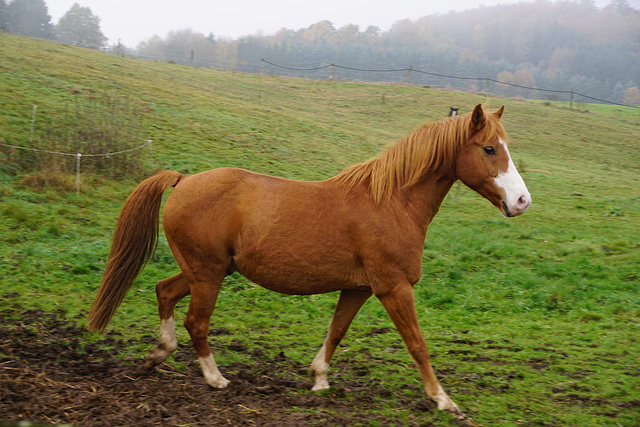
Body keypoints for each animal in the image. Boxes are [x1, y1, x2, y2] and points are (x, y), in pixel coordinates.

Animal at [87, 103, 532, 418]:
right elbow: (417, 344)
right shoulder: (393, 287)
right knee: (197, 322)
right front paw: (443, 400)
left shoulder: (358, 288)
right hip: (208, 274)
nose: (522, 201)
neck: (390, 202)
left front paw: (318, 379)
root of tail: (184, 179)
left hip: (204, 271)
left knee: (164, 292)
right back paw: (215, 379)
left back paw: (159, 354)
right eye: (489, 148)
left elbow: (336, 332)